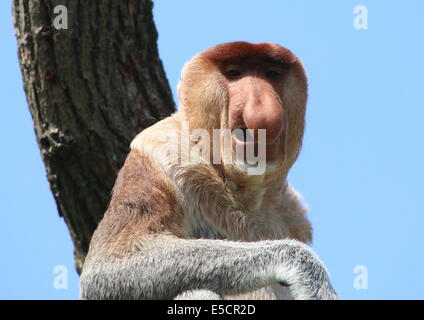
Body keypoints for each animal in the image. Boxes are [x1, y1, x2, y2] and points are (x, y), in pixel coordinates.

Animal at [79, 40, 338, 300]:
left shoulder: (292, 213)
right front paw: (308, 272)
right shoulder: (159, 152)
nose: (261, 104)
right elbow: (108, 267)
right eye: (234, 72)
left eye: (271, 74)